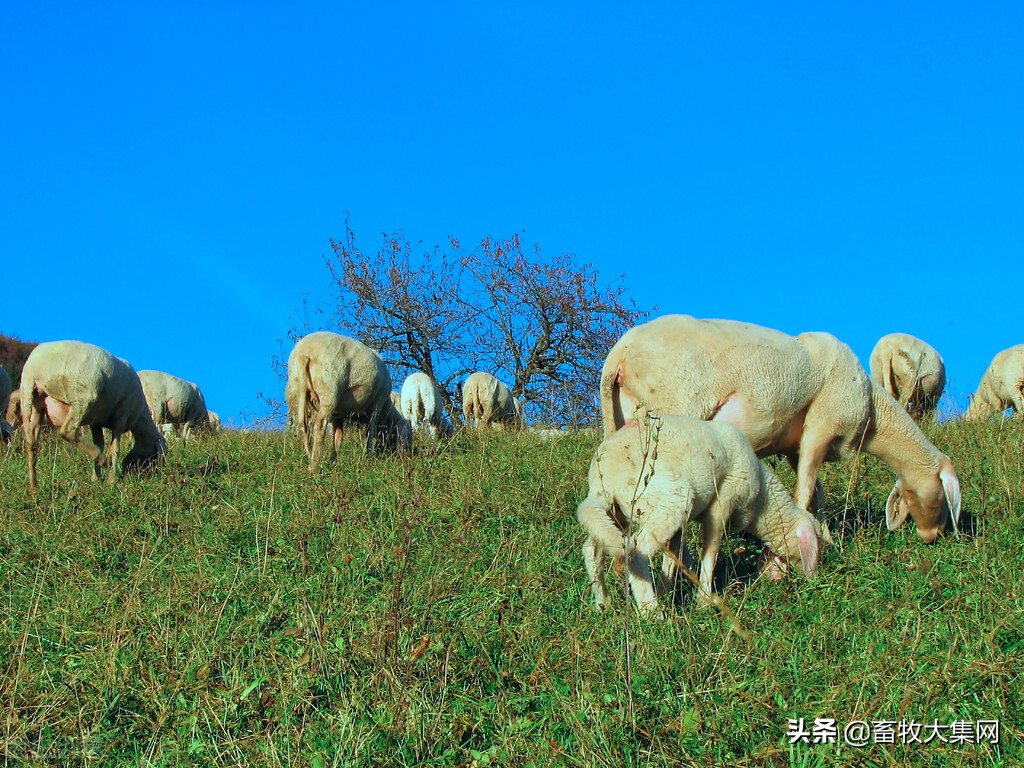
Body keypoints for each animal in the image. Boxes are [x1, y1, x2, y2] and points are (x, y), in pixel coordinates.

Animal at [18, 342, 165, 495]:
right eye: (155, 458)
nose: (156, 476)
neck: (140, 417)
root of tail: (35, 368)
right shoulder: (121, 415)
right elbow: (115, 449)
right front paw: (111, 481)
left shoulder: (97, 422)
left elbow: (100, 443)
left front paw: (96, 479)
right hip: (82, 396)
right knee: (67, 431)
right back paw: (101, 458)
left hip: (33, 401)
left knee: (31, 444)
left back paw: (34, 487)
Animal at [282, 331, 409, 468]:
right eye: (408, 435)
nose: (408, 458)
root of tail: (304, 353)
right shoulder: (377, 402)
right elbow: (370, 431)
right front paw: (369, 457)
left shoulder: (338, 415)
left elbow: (337, 438)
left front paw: (332, 463)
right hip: (329, 391)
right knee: (319, 427)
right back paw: (314, 466)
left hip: (297, 392)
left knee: (302, 426)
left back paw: (311, 458)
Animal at [581, 411, 819, 618]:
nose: (816, 577)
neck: (762, 501)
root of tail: (604, 478)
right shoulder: (724, 500)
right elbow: (711, 551)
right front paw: (703, 601)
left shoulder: (682, 523)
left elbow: (674, 555)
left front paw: (666, 591)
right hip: (669, 499)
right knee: (636, 551)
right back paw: (652, 613)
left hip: (616, 513)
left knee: (592, 550)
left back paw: (603, 604)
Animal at [598, 315, 958, 544]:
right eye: (943, 495)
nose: (932, 537)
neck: (871, 407)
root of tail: (619, 353)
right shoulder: (822, 425)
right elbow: (806, 488)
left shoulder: (793, 447)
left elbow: (818, 493)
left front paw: (826, 535)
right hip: (674, 409)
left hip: (624, 418)